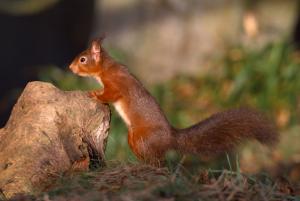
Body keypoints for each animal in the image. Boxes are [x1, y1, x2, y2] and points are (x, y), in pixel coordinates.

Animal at [68, 37, 278, 165]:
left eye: (83, 59)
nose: (70, 67)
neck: (106, 68)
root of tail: (171, 137)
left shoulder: (116, 84)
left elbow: (110, 94)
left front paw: (95, 94)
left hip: (143, 139)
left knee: (157, 161)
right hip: (133, 138)